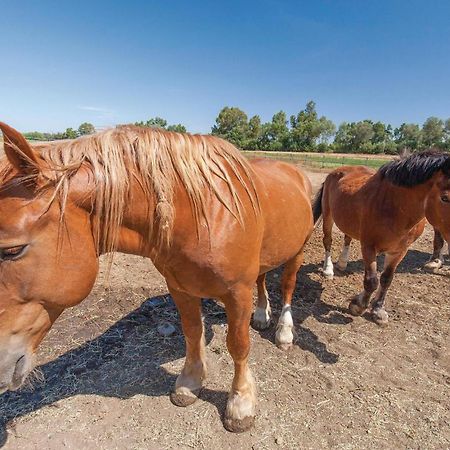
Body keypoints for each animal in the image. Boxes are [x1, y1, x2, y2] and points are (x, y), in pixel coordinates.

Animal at [0, 122, 312, 432]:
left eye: (12, 250)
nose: (1, 367)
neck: (200, 214)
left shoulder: (238, 292)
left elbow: (238, 345)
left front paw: (241, 403)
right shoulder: (180, 288)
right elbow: (192, 332)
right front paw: (190, 383)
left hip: (297, 252)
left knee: (287, 285)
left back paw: (284, 332)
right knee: (263, 279)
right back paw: (261, 315)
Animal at [312, 149, 450, 326]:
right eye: (444, 198)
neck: (395, 207)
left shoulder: (400, 250)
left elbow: (386, 279)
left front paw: (378, 310)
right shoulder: (369, 246)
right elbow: (371, 281)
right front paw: (358, 306)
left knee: (347, 238)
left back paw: (342, 263)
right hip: (328, 214)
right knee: (328, 241)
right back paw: (328, 270)